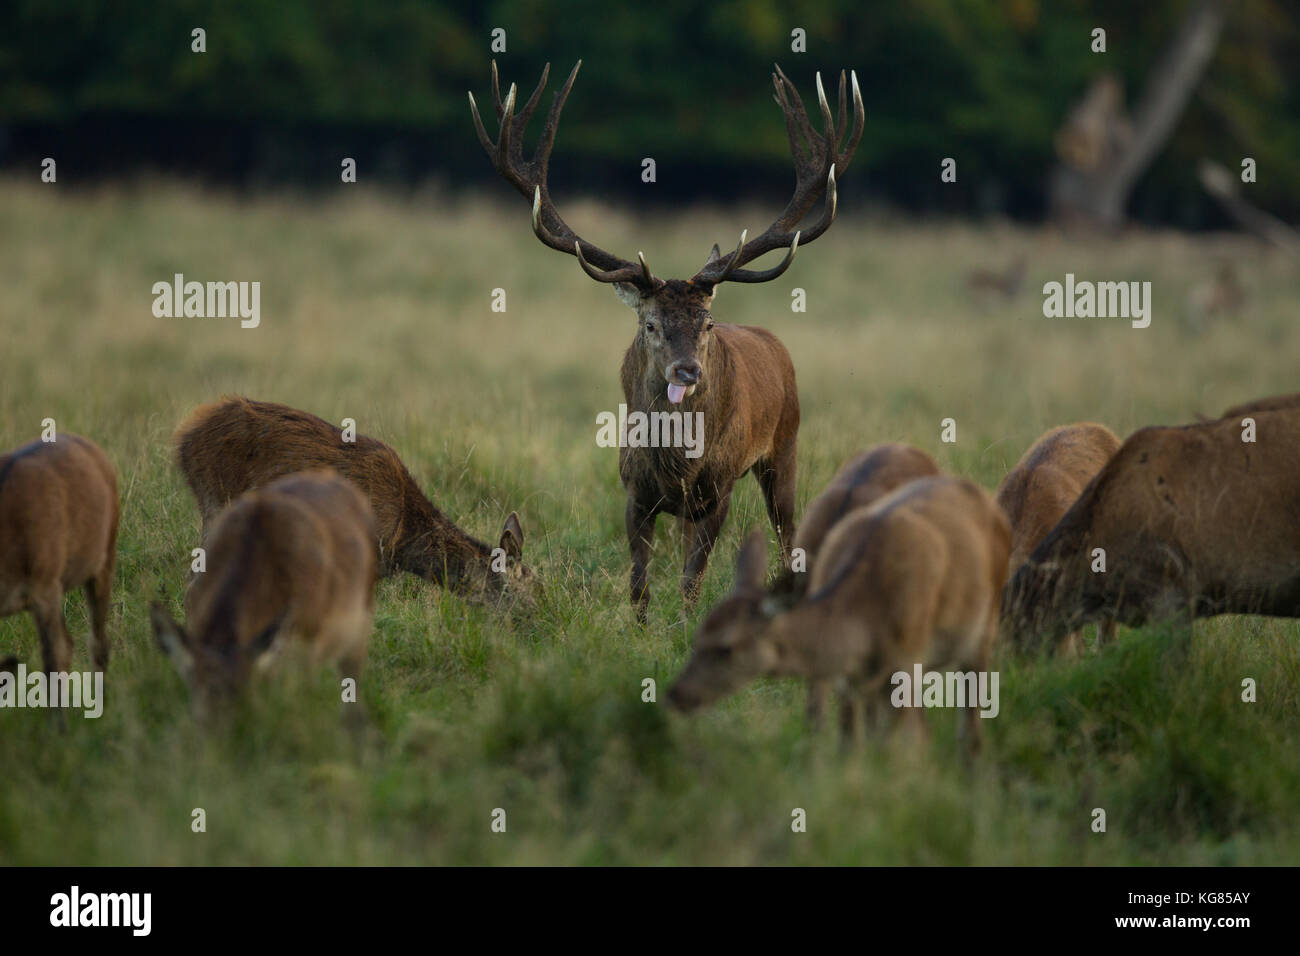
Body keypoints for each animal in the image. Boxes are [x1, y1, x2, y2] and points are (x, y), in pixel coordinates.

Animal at [173, 397, 537, 611]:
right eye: (527, 588)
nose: (540, 621)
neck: (403, 541)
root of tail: (184, 434)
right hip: (217, 497)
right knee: (195, 580)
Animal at [470, 60, 863, 622]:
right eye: (651, 324)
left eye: (708, 323)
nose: (686, 371)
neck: (677, 460)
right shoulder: (634, 491)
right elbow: (639, 580)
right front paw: (639, 627)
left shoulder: (717, 491)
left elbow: (692, 580)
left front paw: (684, 625)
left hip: (785, 446)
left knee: (789, 534)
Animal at [668, 476, 1011, 753]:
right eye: (696, 637)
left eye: (726, 647)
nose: (675, 694)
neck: (865, 618)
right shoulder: (849, 677)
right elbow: (851, 746)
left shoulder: (904, 664)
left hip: (984, 630)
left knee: (970, 728)